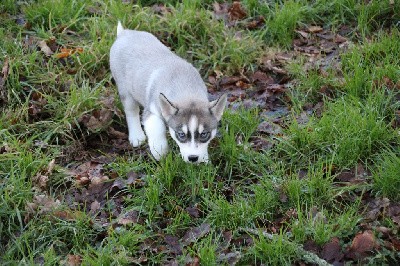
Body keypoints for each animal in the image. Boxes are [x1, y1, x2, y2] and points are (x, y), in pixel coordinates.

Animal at [109, 22, 227, 162]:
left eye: (204, 134)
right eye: (181, 134)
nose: (193, 158)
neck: (185, 88)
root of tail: (124, 33)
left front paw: (203, 158)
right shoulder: (151, 111)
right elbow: (156, 128)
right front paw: (159, 151)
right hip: (125, 92)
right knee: (131, 112)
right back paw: (136, 136)